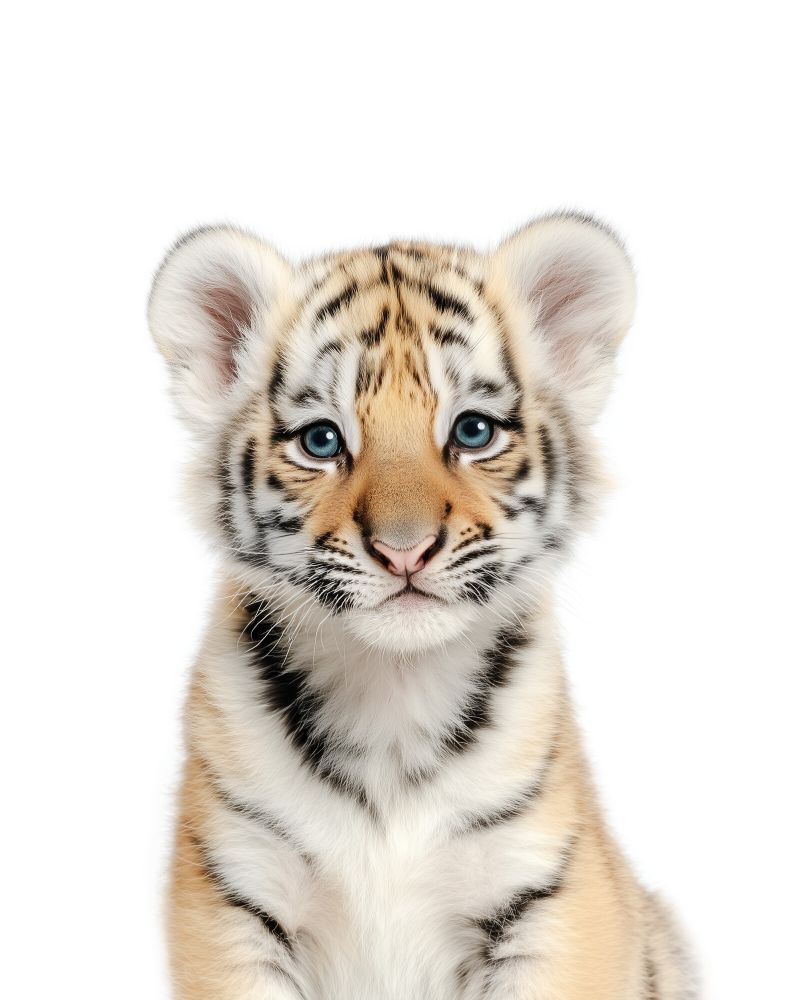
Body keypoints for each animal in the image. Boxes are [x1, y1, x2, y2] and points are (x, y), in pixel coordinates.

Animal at [148, 213, 696, 1000]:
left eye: (473, 431)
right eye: (322, 440)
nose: (404, 549)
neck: (392, 695)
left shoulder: (550, 901)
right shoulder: (232, 897)